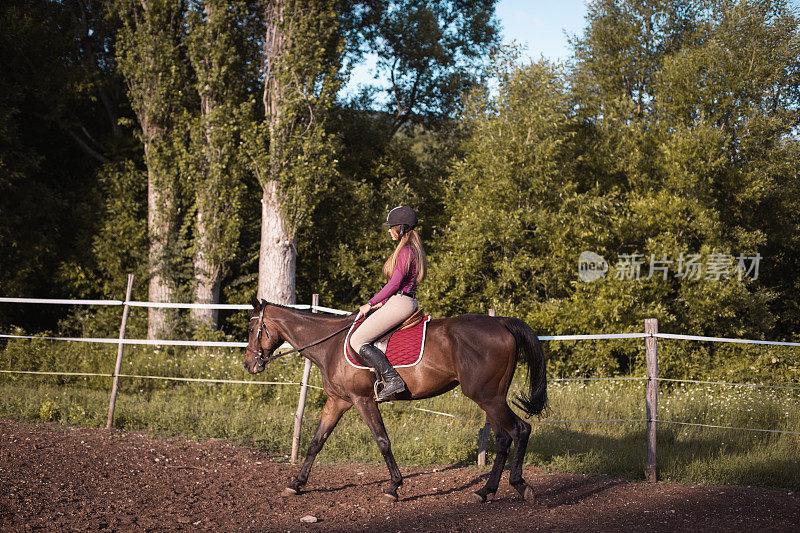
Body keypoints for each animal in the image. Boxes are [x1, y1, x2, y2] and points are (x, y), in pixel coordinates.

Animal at [241, 298, 548, 500]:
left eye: (252, 329)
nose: (249, 365)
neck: (330, 345)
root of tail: (500, 322)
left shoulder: (362, 400)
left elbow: (382, 441)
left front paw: (393, 487)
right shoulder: (338, 401)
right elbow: (317, 441)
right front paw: (296, 483)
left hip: (488, 397)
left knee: (520, 429)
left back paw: (520, 485)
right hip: (491, 399)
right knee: (503, 438)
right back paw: (486, 491)